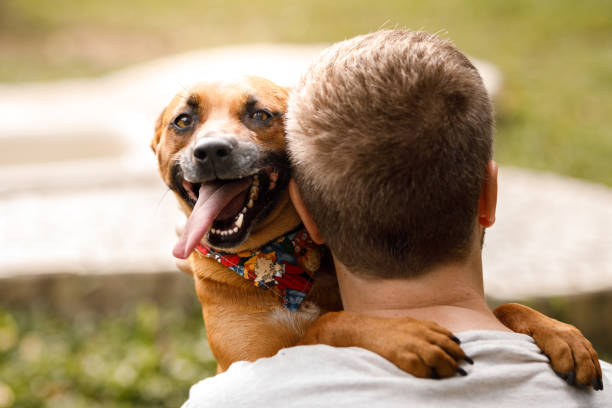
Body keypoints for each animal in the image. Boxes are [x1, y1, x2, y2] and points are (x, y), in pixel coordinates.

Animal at [152, 75, 604, 386]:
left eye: (260, 114)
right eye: (184, 121)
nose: (211, 151)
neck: (278, 264)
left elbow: (506, 308)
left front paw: (561, 334)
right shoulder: (249, 363)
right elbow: (330, 324)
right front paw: (405, 334)